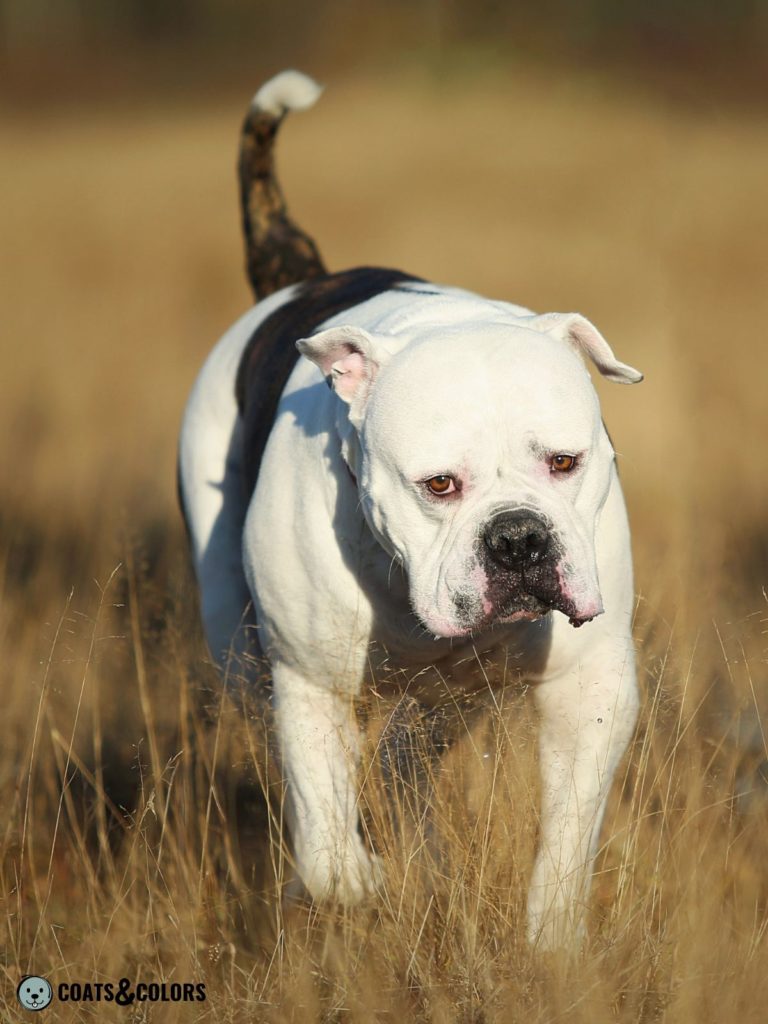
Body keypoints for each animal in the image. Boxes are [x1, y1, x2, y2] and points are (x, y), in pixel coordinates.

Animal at [180, 70, 643, 950]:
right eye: (438, 485)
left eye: (565, 463)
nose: (519, 539)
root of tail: (300, 277)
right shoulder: (308, 683)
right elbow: (326, 834)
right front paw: (357, 879)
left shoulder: (589, 687)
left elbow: (569, 833)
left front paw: (552, 941)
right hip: (234, 635)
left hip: (451, 697)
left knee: (405, 758)